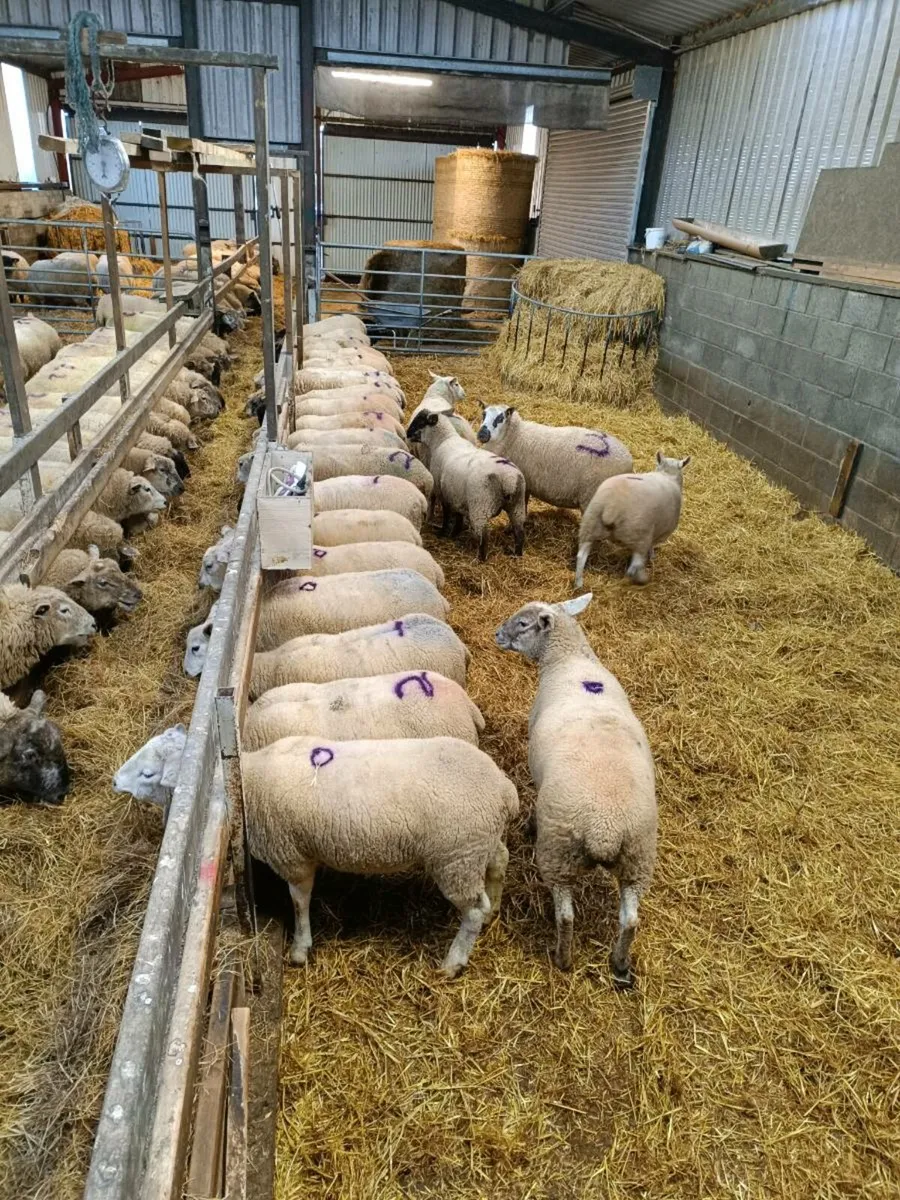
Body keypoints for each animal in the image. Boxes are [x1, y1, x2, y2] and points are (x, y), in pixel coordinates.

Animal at [241, 734, 518, 975]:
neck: (249, 781)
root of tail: (503, 787)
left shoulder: (293, 857)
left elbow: (299, 902)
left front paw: (300, 948)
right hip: (481, 845)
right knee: (499, 863)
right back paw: (493, 912)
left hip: (457, 858)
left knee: (473, 911)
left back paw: (453, 963)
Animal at [407, 412, 526, 561]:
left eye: (421, 422)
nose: (407, 433)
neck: (443, 440)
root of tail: (508, 479)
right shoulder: (456, 494)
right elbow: (458, 517)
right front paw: (455, 532)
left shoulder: (442, 491)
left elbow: (447, 515)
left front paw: (443, 533)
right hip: (517, 506)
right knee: (519, 532)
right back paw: (516, 554)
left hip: (480, 506)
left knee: (484, 536)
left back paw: (480, 559)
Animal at [475, 406, 633, 512]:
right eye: (483, 414)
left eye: (500, 418)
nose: (482, 434)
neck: (514, 436)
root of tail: (629, 462)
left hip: (591, 497)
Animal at [495, 593, 656, 986]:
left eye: (523, 624)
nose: (496, 635)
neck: (568, 659)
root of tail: (605, 831)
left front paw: (529, 823)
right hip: (638, 859)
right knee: (631, 919)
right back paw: (620, 965)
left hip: (558, 854)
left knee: (566, 915)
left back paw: (562, 957)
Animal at [575, 453, 691, 588]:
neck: (667, 475)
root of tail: (612, 507)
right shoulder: (659, 532)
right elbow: (652, 546)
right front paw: (652, 556)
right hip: (639, 536)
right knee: (634, 567)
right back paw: (641, 579)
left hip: (590, 524)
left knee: (581, 556)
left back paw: (578, 584)